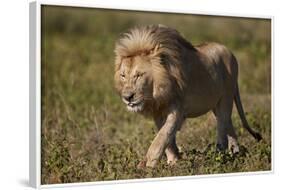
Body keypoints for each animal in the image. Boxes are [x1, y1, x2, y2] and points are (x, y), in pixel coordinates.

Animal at [112, 24, 262, 168]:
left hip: (226, 98)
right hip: (216, 104)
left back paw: (220, 156)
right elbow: (167, 140)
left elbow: (161, 137)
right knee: (228, 125)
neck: (157, 94)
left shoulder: (177, 110)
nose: (127, 97)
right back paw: (235, 153)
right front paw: (174, 162)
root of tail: (230, 52)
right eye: (123, 75)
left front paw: (147, 166)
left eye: (139, 75)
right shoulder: (158, 112)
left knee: (222, 127)